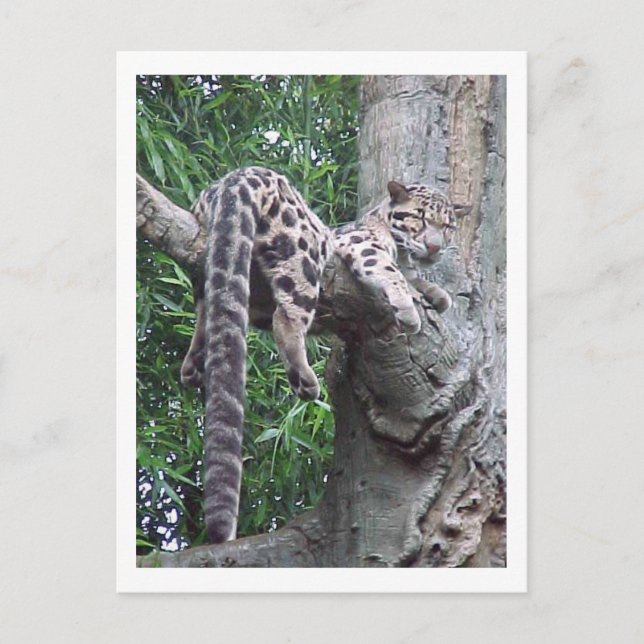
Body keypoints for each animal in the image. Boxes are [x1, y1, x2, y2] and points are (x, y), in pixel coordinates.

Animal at [179, 166, 456, 543]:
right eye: (420, 217)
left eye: (448, 226)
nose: (434, 246)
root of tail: (242, 174)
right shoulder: (360, 243)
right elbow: (391, 272)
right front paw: (409, 306)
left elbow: (417, 279)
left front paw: (436, 294)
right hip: (304, 253)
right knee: (286, 315)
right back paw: (305, 379)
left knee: (206, 309)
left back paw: (193, 364)